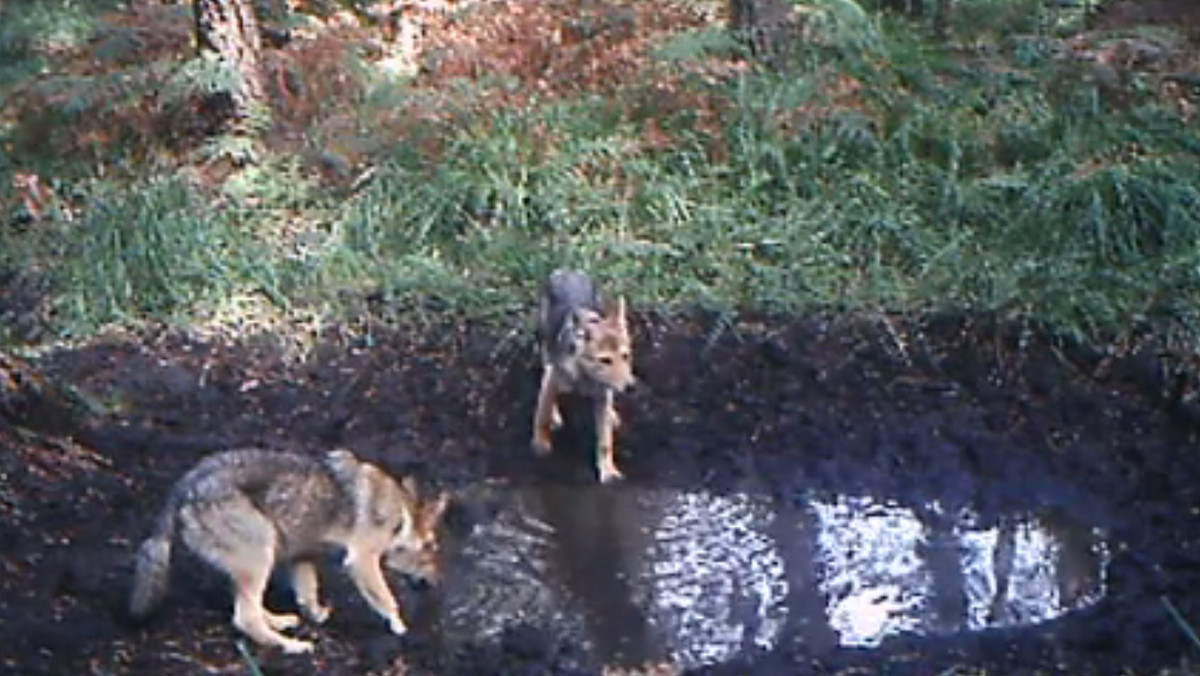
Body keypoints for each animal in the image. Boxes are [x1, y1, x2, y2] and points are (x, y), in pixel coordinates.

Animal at [127, 449, 451, 657]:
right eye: (430, 550)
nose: (436, 583)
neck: (398, 512)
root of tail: (186, 485)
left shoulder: (301, 558)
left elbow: (308, 595)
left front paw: (316, 615)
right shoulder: (362, 561)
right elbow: (387, 600)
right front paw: (402, 629)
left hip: (254, 561)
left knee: (248, 606)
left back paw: (280, 622)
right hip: (260, 555)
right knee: (244, 618)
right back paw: (291, 646)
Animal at [530, 267, 633, 485]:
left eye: (625, 356)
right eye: (605, 360)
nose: (631, 386)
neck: (586, 377)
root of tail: (566, 270)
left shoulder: (602, 395)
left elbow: (605, 442)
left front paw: (607, 470)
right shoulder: (552, 377)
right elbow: (542, 414)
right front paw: (540, 442)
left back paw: (612, 414)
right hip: (547, 347)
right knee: (545, 371)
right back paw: (555, 415)